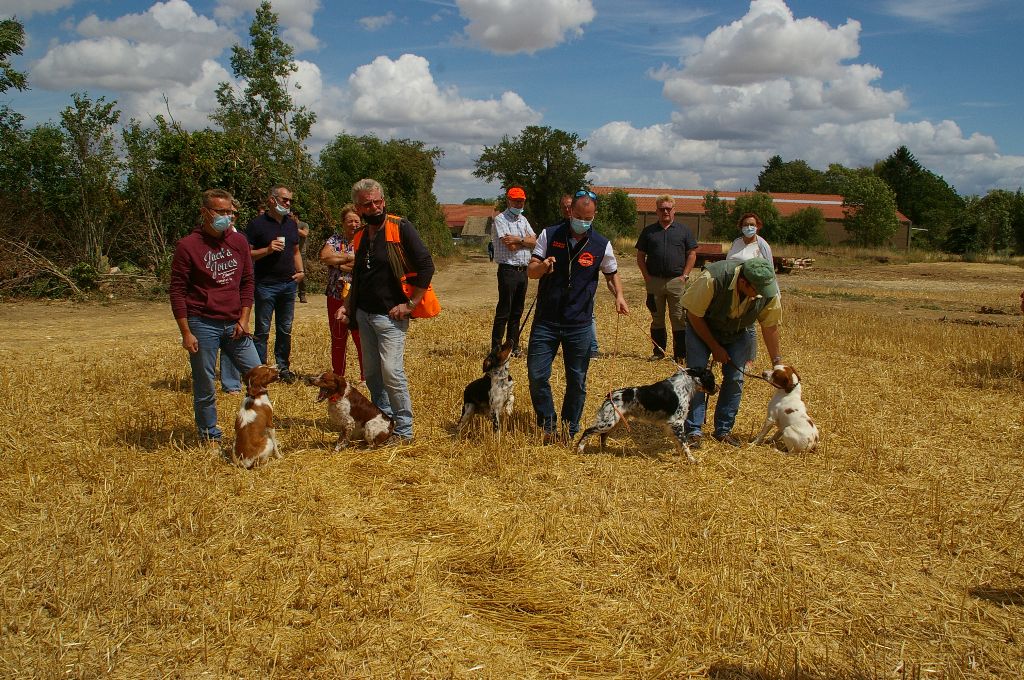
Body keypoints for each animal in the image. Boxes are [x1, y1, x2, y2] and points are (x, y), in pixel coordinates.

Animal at [573, 366, 716, 462]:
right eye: (712, 379)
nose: (717, 388)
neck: (685, 383)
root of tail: (610, 395)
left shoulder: (671, 425)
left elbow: (679, 443)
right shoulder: (677, 422)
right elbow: (684, 444)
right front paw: (691, 459)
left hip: (616, 421)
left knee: (603, 435)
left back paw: (605, 449)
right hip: (608, 422)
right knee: (587, 431)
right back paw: (580, 450)